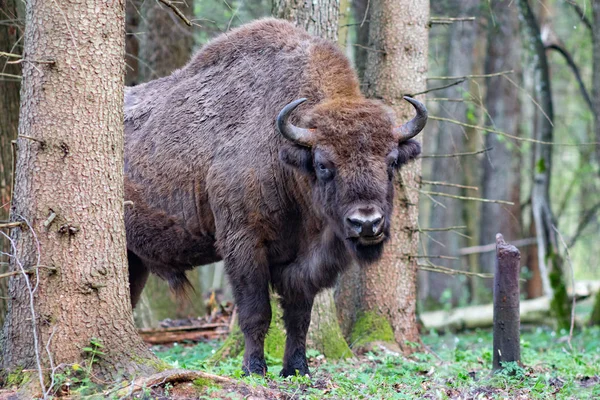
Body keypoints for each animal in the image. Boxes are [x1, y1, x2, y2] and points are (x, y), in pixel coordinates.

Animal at [125, 17, 426, 376]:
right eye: (323, 164)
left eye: (391, 161)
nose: (366, 223)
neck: (285, 157)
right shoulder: (243, 244)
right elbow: (256, 312)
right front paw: (254, 368)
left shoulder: (299, 261)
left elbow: (298, 317)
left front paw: (297, 368)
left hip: (134, 259)